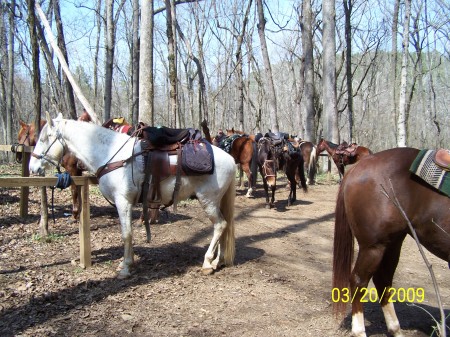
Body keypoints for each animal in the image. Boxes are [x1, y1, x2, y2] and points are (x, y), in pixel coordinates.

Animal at [29, 111, 237, 276]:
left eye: (44, 138)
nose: (33, 167)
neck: (111, 154)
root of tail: (230, 159)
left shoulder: (123, 202)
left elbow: (126, 234)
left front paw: (126, 267)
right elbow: (127, 233)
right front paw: (125, 264)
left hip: (208, 200)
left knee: (220, 225)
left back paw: (207, 262)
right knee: (223, 226)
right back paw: (217, 261)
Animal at [332, 148, 448, 336]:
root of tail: (359, 167)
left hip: (392, 243)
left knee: (383, 280)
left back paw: (395, 328)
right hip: (373, 247)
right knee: (359, 281)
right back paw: (360, 331)